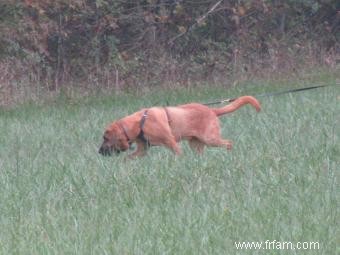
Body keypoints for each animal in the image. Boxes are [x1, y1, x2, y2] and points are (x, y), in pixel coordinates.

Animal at [98, 96, 260, 157]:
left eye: (106, 138)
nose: (99, 152)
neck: (140, 123)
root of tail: (212, 110)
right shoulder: (142, 149)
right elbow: (128, 158)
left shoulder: (171, 143)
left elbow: (178, 154)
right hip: (196, 144)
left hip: (210, 138)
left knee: (229, 143)